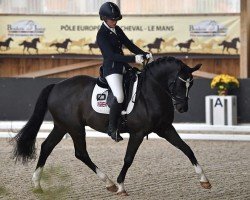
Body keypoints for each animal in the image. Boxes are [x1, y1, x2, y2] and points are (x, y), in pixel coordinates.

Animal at [11, 55, 211, 195]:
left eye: (191, 84)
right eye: (179, 83)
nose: (182, 108)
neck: (150, 92)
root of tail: (56, 86)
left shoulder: (165, 128)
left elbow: (187, 149)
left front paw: (204, 180)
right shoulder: (138, 133)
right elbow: (128, 158)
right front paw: (121, 186)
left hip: (62, 126)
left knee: (47, 147)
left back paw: (37, 185)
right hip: (75, 128)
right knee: (80, 153)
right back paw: (109, 183)